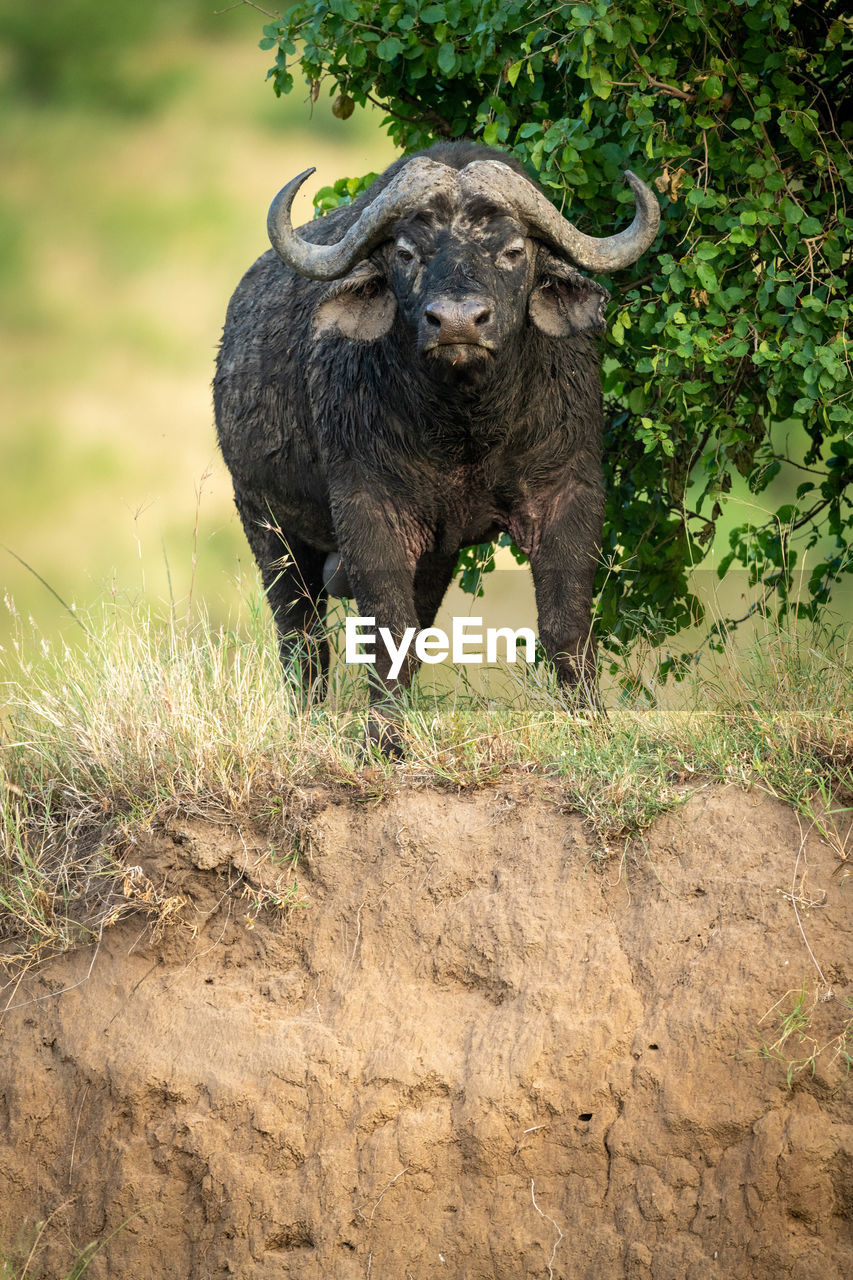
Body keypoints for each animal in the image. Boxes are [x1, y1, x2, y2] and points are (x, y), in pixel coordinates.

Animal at [212, 140, 655, 747]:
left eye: (513, 250)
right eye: (406, 253)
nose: (458, 322)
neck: (466, 427)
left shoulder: (568, 491)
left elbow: (565, 622)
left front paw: (590, 722)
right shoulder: (369, 508)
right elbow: (387, 627)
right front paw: (384, 736)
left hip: (432, 555)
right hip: (266, 524)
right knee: (300, 637)